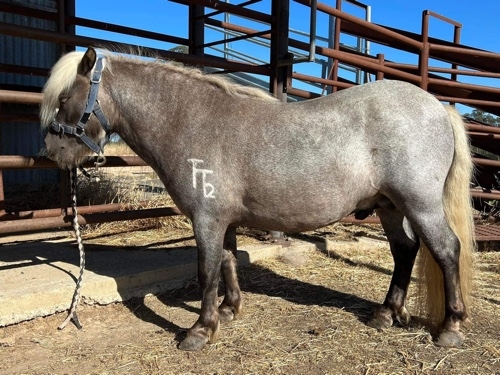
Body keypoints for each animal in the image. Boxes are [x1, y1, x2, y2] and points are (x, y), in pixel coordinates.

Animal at [41, 47, 474, 352]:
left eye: (63, 99)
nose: (51, 150)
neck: (190, 120)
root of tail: (438, 106)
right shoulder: (223, 220)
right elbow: (229, 263)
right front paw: (229, 311)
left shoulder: (206, 219)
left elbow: (207, 272)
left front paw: (200, 331)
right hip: (390, 207)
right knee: (405, 251)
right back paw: (385, 314)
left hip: (420, 204)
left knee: (446, 250)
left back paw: (450, 327)